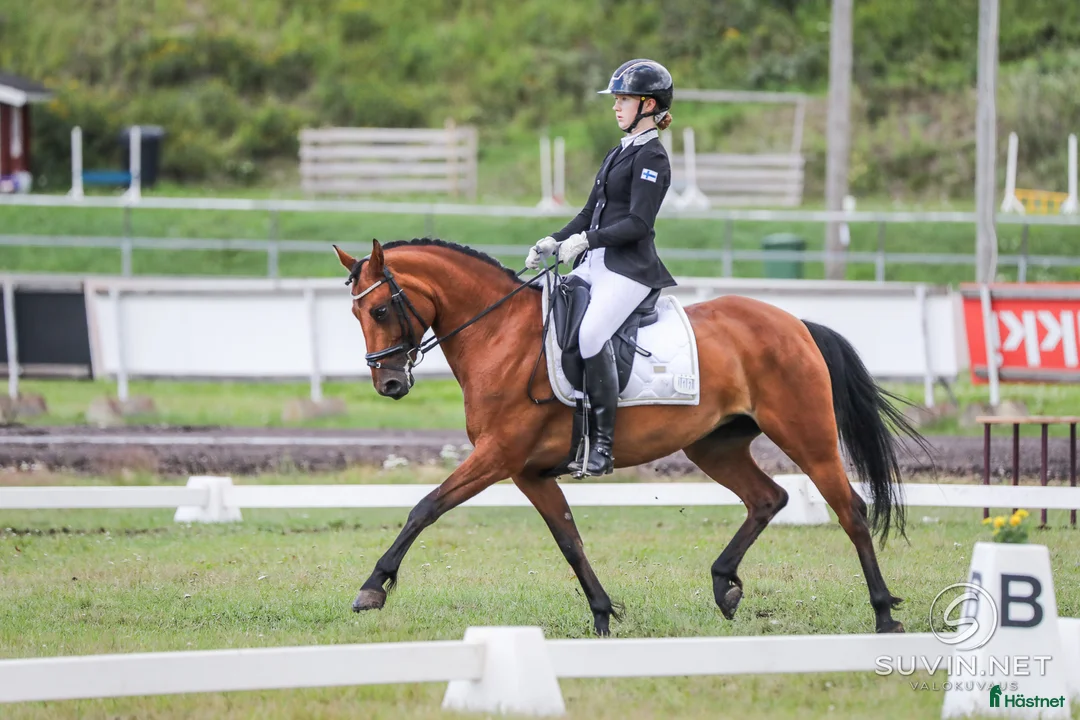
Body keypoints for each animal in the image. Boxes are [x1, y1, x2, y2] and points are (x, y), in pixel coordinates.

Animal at [332, 237, 930, 636]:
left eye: (381, 308)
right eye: (356, 313)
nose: (389, 383)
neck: (501, 335)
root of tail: (795, 323)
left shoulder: (497, 456)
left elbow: (426, 507)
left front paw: (372, 588)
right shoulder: (527, 471)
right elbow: (569, 540)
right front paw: (602, 616)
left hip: (807, 434)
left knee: (851, 510)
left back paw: (884, 614)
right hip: (713, 444)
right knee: (768, 497)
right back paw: (725, 585)